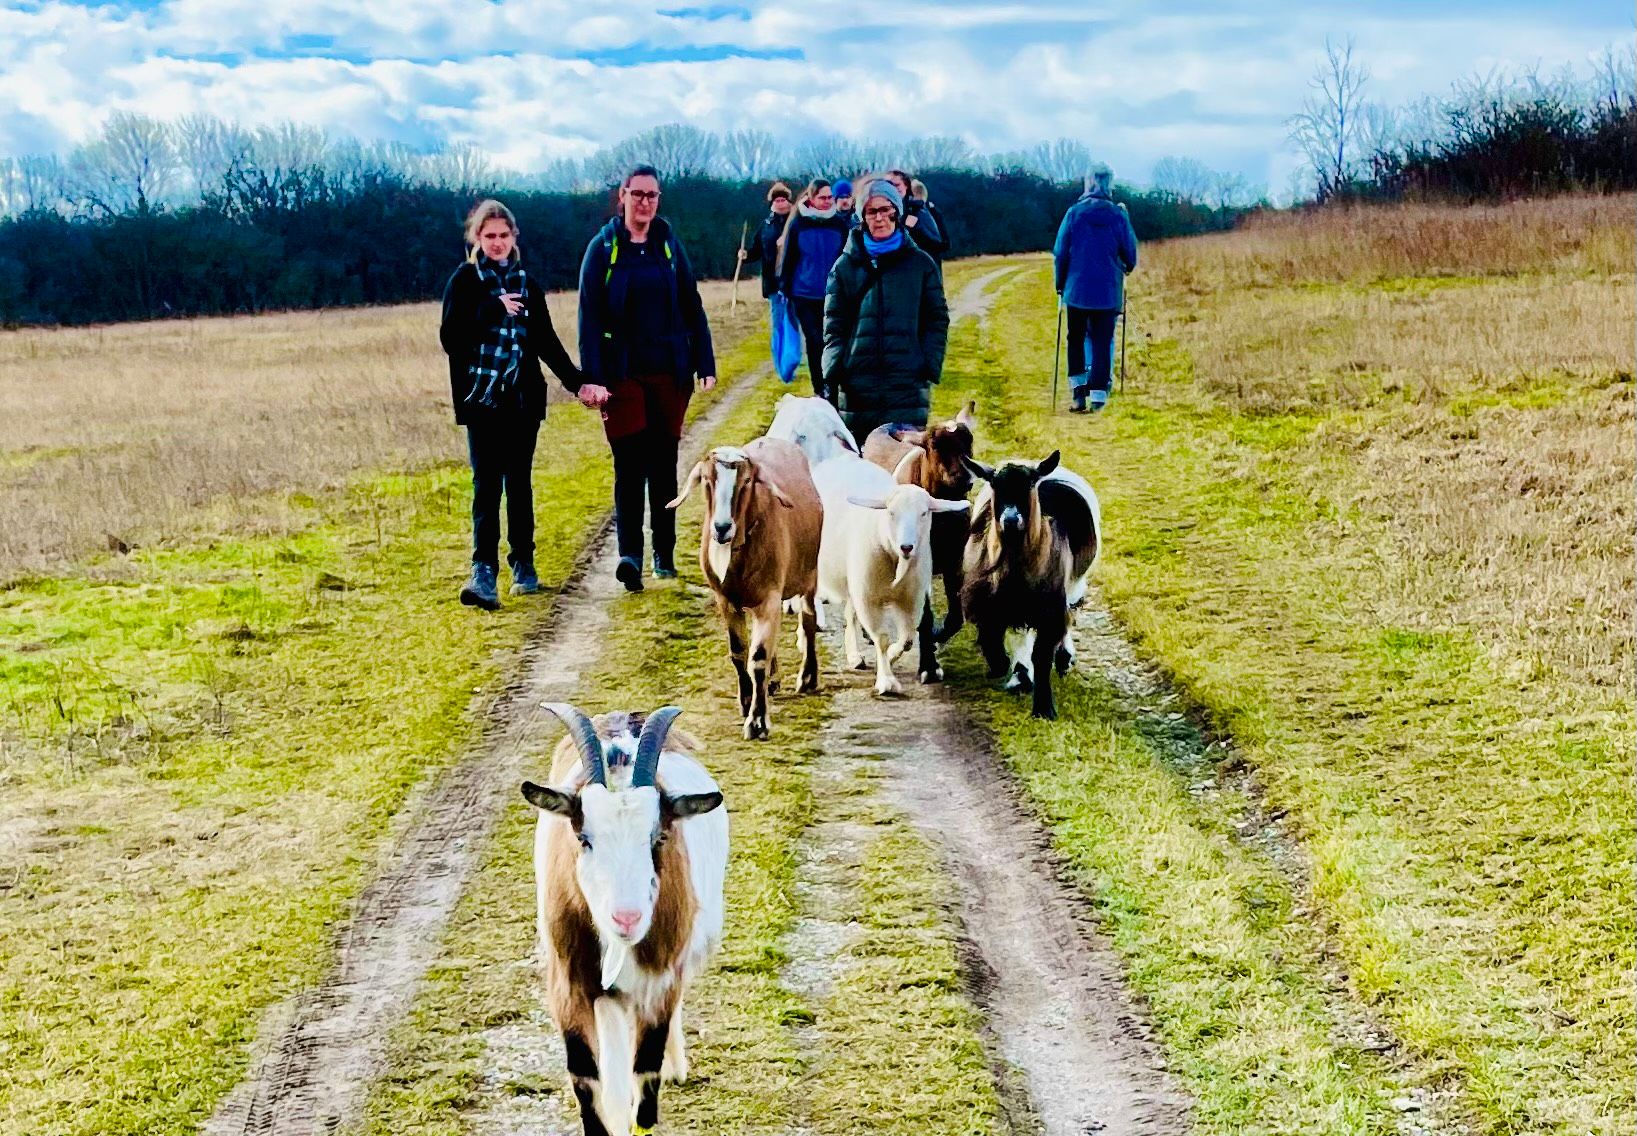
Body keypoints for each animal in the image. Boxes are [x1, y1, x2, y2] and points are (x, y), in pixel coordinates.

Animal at [522, 703, 729, 1136]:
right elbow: (585, 1077)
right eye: (583, 839)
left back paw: (675, 1066)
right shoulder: (569, 983)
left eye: (659, 838)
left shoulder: (660, 981)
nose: (627, 918)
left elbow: (646, 1076)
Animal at [669, 438, 823, 739]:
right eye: (707, 479)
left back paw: (808, 677)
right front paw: (747, 699)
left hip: (810, 575)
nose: (721, 528)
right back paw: (773, 681)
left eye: (747, 480)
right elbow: (740, 652)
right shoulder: (726, 599)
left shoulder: (770, 598)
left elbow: (758, 657)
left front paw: (758, 721)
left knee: (808, 621)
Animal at [862, 400, 978, 646]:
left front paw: (937, 634)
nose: (963, 477)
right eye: (934, 446)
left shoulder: (955, 560)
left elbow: (955, 616)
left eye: (969, 442)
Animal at [959, 451, 1102, 719]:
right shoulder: (987, 604)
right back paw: (1020, 676)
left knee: (1070, 611)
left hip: (1073, 586)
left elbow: (1043, 654)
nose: (1010, 519)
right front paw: (1010, 672)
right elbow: (994, 640)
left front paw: (1044, 709)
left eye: (1028, 485)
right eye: (995, 484)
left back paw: (1064, 658)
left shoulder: (1050, 608)